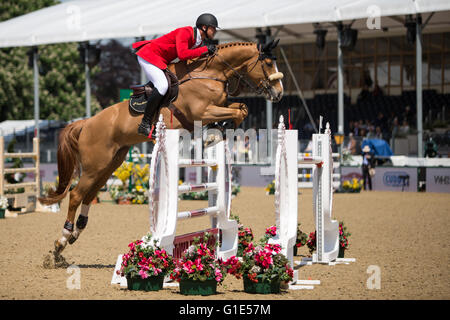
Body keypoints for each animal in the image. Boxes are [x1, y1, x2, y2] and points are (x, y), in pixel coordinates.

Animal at [39, 40, 284, 262]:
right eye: (268, 63)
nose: (279, 94)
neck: (210, 74)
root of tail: (86, 123)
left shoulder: (218, 107)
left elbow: (241, 109)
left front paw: (216, 133)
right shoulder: (203, 111)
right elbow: (239, 110)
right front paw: (214, 134)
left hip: (109, 164)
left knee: (89, 194)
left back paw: (74, 234)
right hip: (95, 165)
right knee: (76, 194)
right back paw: (62, 239)